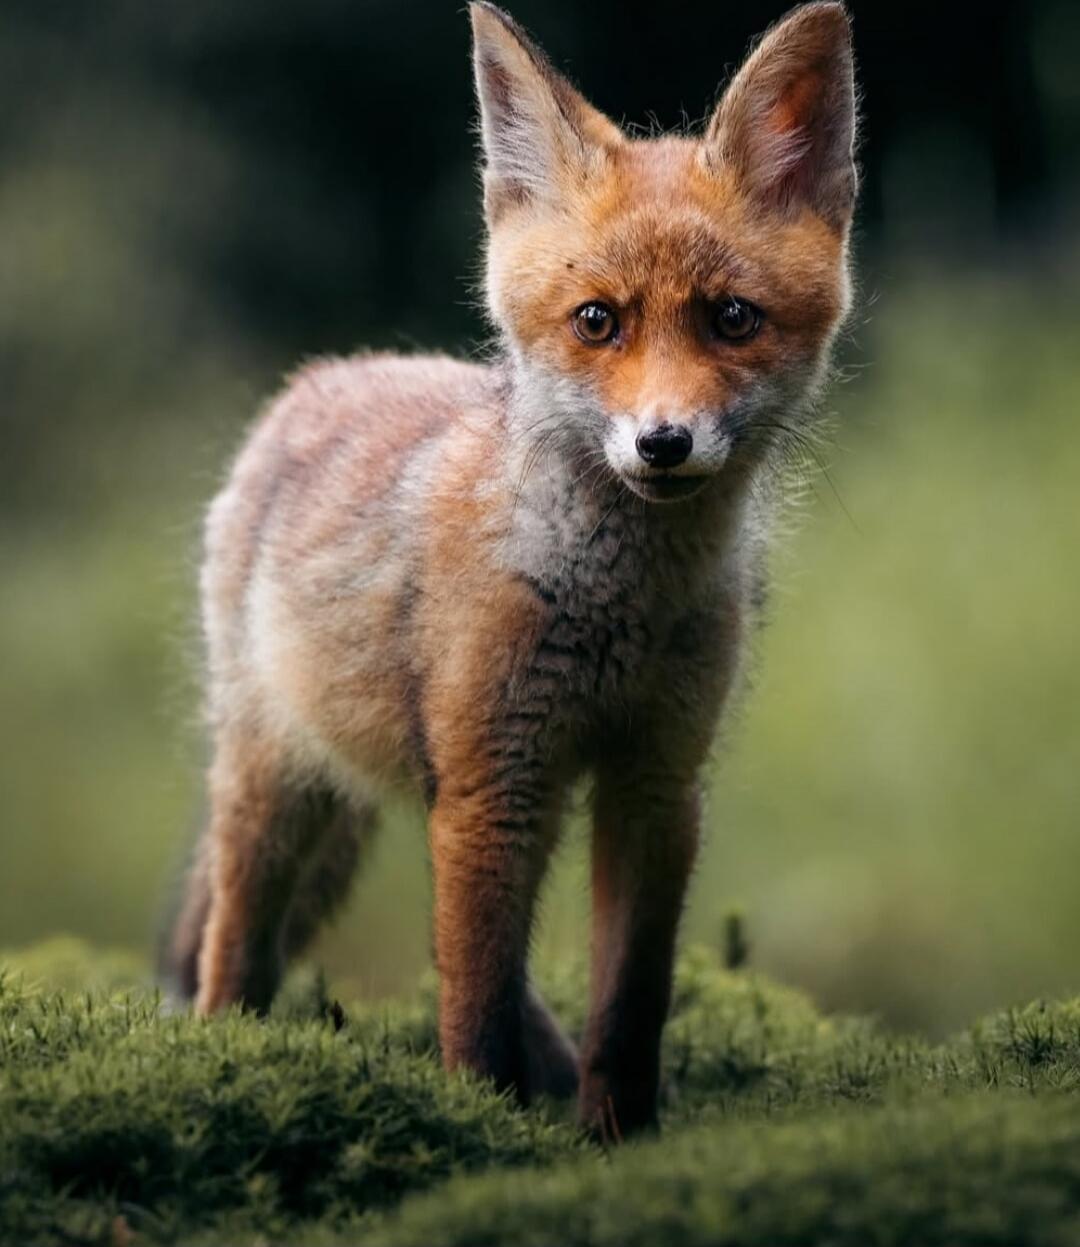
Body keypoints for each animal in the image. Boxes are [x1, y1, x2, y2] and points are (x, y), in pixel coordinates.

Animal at [162, 1, 857, 1138]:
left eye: (732, 317)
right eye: (598, 321)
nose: (663, 443)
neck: (617, 610)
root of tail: (325, 375)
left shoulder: (656, 783)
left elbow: (628, 1004)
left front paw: (617, 1139)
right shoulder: (496, 782)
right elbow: (474, 1010)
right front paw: (480, 1122)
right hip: (278, 782)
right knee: (236, 943)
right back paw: (226, 1048)